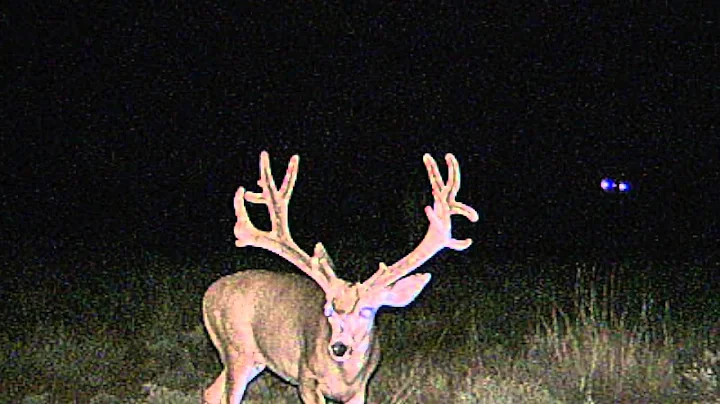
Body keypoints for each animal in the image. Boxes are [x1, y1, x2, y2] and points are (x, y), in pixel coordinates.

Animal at [202, 151, 479, 404]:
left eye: (366, 311)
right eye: (328, 311)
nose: (338, 347)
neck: (344, 378)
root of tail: (209, 294)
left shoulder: (360, 389)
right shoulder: (306, 378)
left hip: (252, 359)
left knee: (211, 391)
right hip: (236, 350)